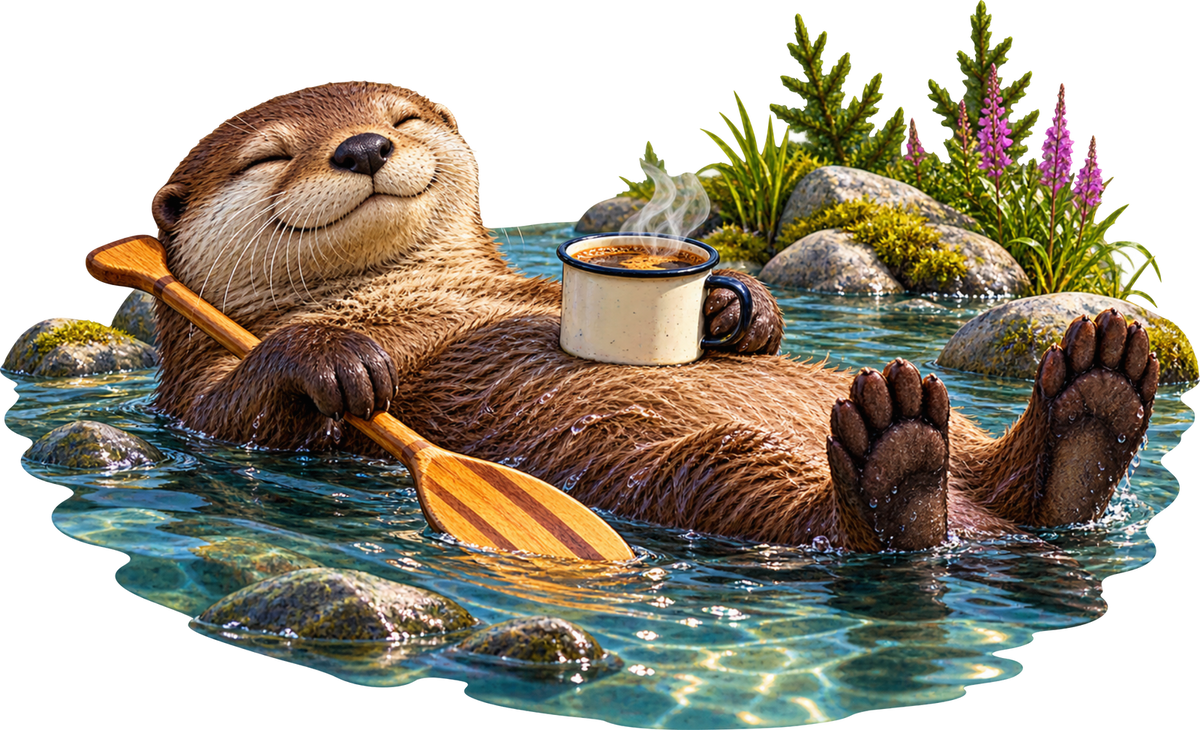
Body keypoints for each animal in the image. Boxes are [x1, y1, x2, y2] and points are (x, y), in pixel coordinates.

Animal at [145, 77, 1159, 552]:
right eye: (270, 156)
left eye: (402, 117)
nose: (361, 146)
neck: (417, 292)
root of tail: (983, 529)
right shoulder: (191, 394)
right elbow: (235, 409)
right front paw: (337, 358)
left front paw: (737, 308)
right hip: (703, 472)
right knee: (838, 520)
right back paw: (901, 461)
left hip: (974, 443)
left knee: (1010, 471)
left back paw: (1095, 392)